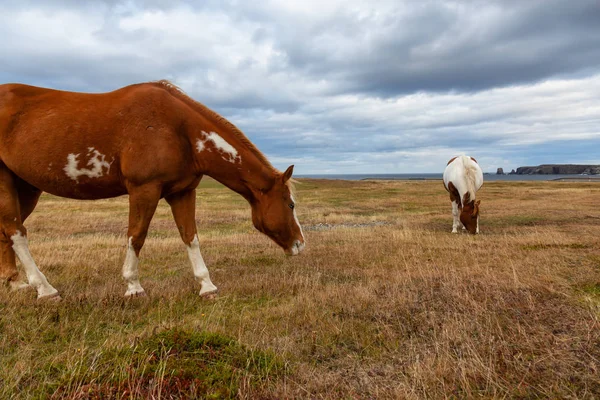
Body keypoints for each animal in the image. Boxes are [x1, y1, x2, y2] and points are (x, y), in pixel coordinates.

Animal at [0, 80, 308, 300]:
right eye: (290, 204)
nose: (300, 244)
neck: (179, 129)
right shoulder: (144, 189)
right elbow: (136, 236)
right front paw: (133, 286)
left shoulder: (182, 192)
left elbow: (190, 237)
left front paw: (206, 285)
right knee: (16, 231)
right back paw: (45, 289)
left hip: (26, 187)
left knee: (8, 230)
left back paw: (15, 284)